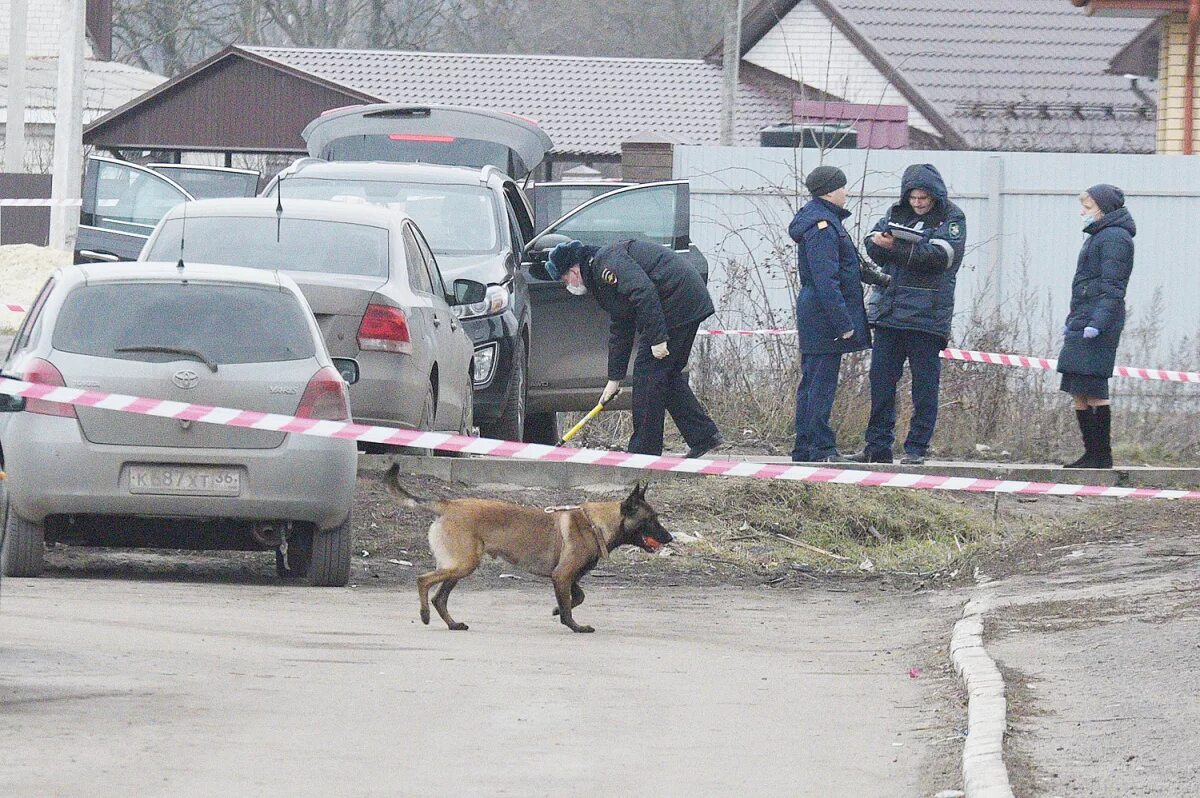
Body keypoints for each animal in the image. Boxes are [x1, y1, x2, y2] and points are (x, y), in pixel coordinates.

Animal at [386, 463, 676, 633]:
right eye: (652, 520)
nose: (670, 537)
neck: (596, 524)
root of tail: (448, 504)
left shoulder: (569, 578)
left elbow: (578, 597)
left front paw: (558, 610)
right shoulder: (562, 576)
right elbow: (570, 605)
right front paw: (574, 625)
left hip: (459, 567)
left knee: (440, 597)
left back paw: (453, 624)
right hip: (462, 564)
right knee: (423, 581)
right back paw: (424, 615)